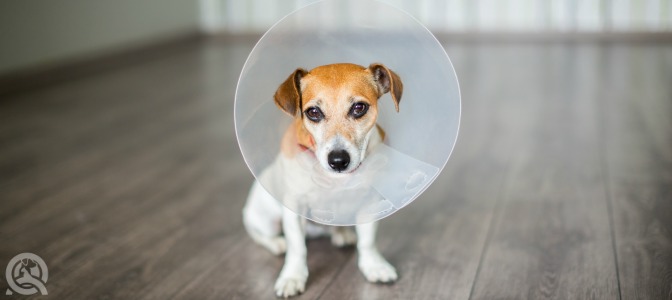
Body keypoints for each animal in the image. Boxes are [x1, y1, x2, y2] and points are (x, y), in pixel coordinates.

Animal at [242, 62, 402, 298]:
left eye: (359, 108)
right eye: (313, 112)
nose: (338, 161)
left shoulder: (370, 204)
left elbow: (368, 242)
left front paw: (374, 266)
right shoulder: (294, 208)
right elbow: (297, 247)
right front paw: (292, 277)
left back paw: (341, 233)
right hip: (266, 217)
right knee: (259, 234)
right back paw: (277, 243)